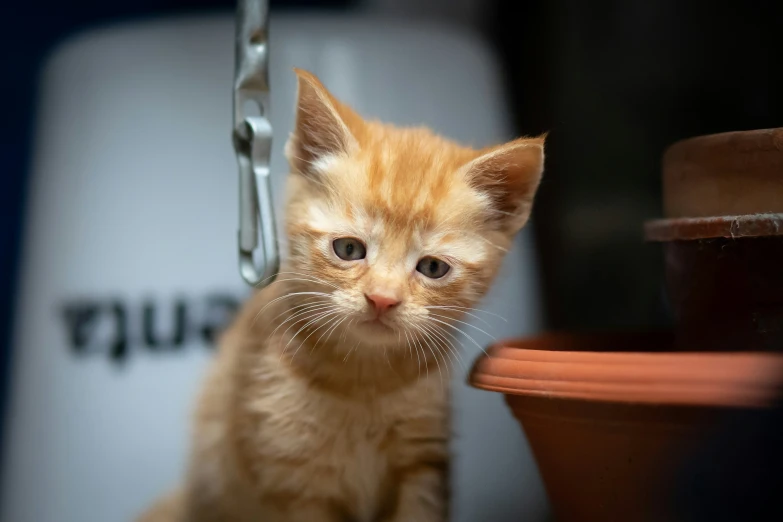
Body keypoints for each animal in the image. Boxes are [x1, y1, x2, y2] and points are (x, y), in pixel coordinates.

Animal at [138, 69, 544, 520]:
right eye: (349, 249)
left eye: (433, 268)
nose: (382, 299)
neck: (363, 382)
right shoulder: (292, 482)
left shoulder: (423, 464)